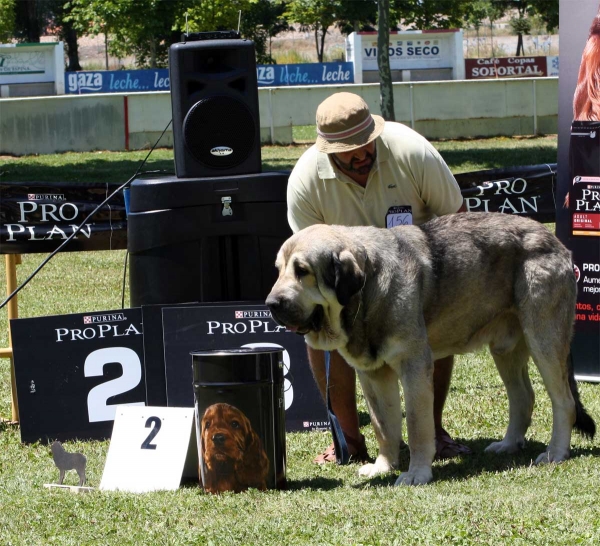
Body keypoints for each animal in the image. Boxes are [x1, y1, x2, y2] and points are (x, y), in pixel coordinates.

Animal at [266, 212, 596, 484]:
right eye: (279, 270)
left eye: (302, 270)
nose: (271, 304)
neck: (367, 291)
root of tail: (554, 240)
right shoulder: (373, 375)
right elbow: (383, 426)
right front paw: (383, 466)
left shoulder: (413, 366)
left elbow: (415, 424)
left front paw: (416, 474)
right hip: (505, 349)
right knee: (524, 397)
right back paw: (508, 444)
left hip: (544, 339)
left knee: (563, 401)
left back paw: (555, 453)